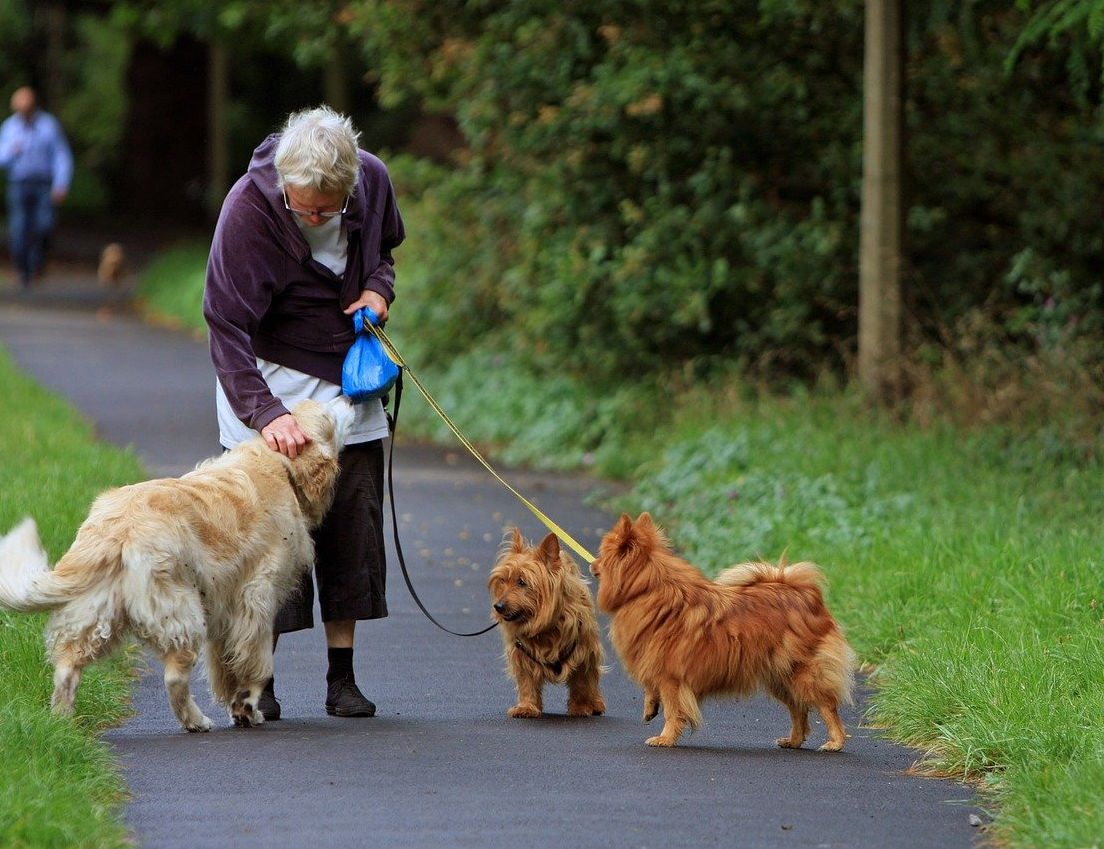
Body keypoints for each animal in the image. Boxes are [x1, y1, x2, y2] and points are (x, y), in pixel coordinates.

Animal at [0, 395, 353, 728]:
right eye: (327, 414)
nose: (349, 397)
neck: (275, 462)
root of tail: (117, 528)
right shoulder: (256, 598)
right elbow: (257, 662)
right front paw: (248, 708)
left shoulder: (225, 607)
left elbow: (225, 665)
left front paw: (237, 705)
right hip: (181, 612)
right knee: (173, 677)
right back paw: (196, 721)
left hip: (95, 615)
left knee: (66, 669)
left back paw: (62, 724)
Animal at [490, 529, 609, 715]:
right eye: (503, 580)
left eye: (522, 582)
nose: (498, 607)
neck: (545, 627)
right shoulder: (521, 654)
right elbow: (527, 682)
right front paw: (527, 706)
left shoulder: (583, 651)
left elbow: (581, 681)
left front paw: (581, 706)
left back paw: (594, 703)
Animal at [596, 510, 852, 750]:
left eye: (602, 555)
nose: (593, 565)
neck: (647, 589)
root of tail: (807, 596)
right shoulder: (654, 662)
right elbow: (652, 690)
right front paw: (650, 709)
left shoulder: (671, 677)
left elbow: (673, 711)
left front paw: (665, 738)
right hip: (781, 677)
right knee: (799, 709)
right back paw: (794, 741)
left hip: (804, 673)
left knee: (827, 706)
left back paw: (835, 742)